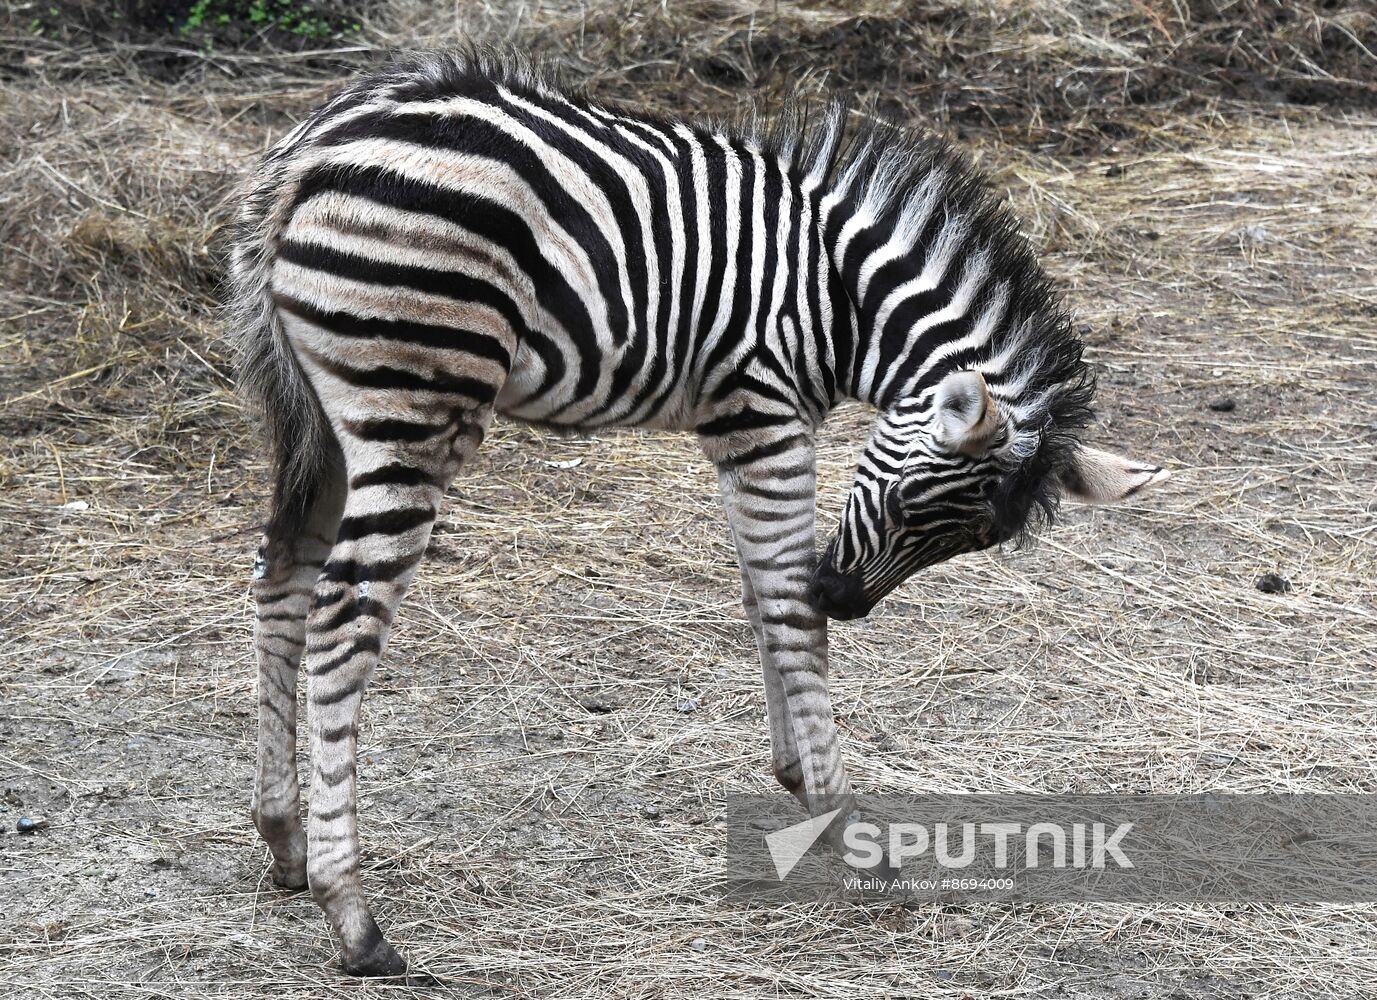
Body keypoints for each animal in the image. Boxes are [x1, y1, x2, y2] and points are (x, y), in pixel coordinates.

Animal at [231, 50, 1167, 975]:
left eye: (969, 544)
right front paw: (848, 829)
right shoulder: (764, 414)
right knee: (342, 613)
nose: (847, 600)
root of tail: (316, 148)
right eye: (907, 502)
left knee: (283, 578)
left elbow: (762, 593)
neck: (839, 298)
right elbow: (787, 605)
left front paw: (796, 774)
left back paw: (285, 843)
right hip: (414, 407)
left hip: (320, 420)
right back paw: (353, 917)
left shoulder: (736, 429)